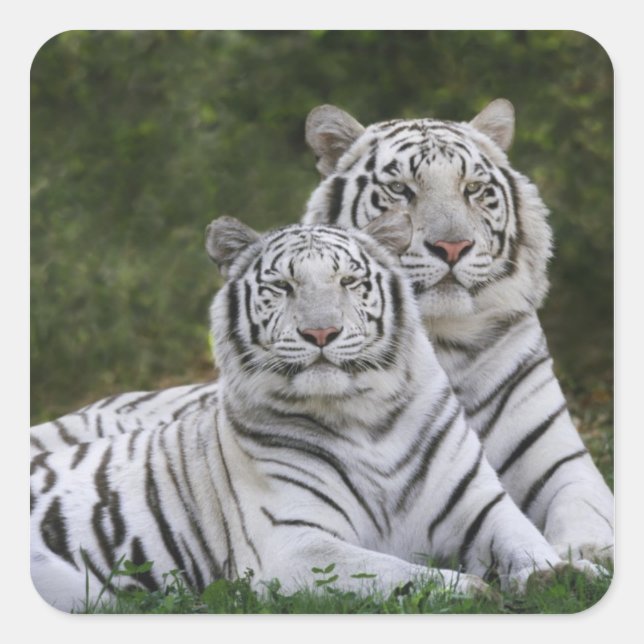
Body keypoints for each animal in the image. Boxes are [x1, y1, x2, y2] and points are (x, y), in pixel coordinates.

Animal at [30, 216, 601, 612]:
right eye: (282, 287)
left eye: (348, 281)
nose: (320, 333)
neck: (368, 419)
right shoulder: (294, 545)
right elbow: (389, 572)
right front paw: (475, 591)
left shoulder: (481, 505)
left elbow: (525, 539)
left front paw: (563, 573)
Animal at [301, 98, 614, 563]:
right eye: (401, 190)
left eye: (473, 189)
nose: (453, 247)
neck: (443, 338)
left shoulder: (562, 460)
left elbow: (583, 506)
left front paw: (585, 550)